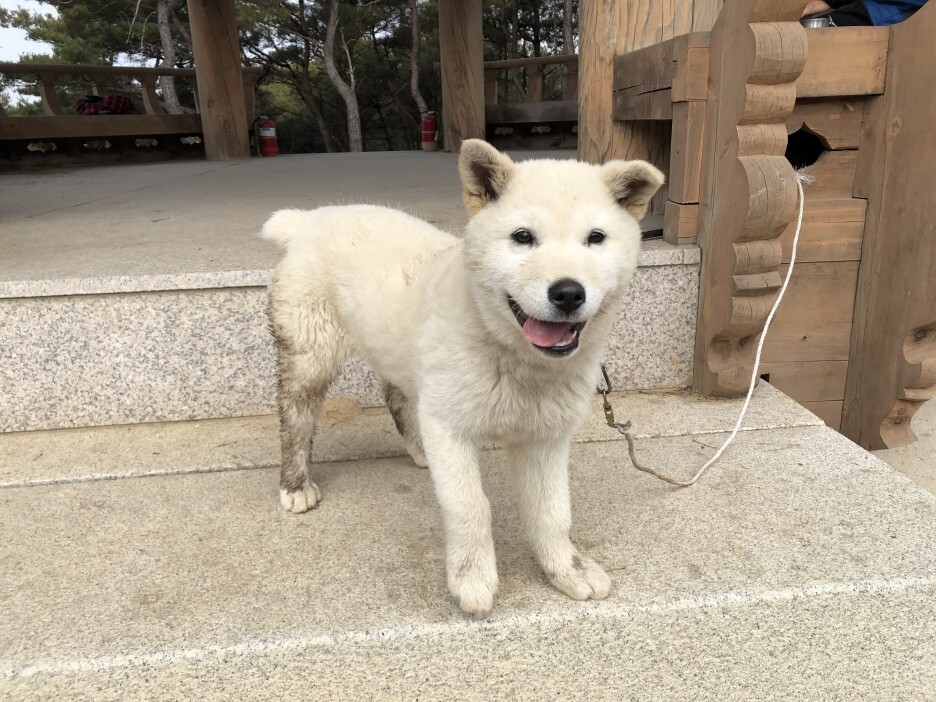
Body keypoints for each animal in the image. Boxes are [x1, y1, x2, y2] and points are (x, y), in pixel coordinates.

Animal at [263, 140, 663, 618]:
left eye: (596, 238)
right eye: (523, 237)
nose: (568, 293)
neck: (516, 359)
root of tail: (310, 218)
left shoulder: (545, 437)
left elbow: (553, 511)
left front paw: (567, 568)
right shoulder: (450, 426)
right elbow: (470, 506)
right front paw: (472, 578)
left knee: (397, 396)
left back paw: (419, 450)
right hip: (310, 352)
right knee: (295, 417)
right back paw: (295, 484)